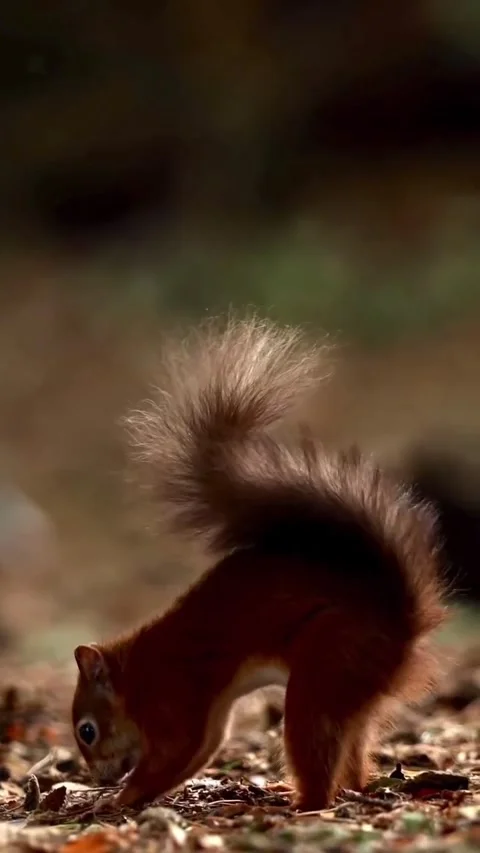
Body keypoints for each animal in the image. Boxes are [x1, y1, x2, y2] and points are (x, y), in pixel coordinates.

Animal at [71, 316, 447, 811]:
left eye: (87, 731)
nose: (97, 778)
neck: (136, 677)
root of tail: (402, 621)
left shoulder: (172, 697)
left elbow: (176, 752)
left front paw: (118, 799)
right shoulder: (206, 713)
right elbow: (199, 751)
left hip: (328, 663)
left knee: (318, 752)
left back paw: (303, 801)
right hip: (351, 686)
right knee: (353, 750)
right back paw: (343, 788)